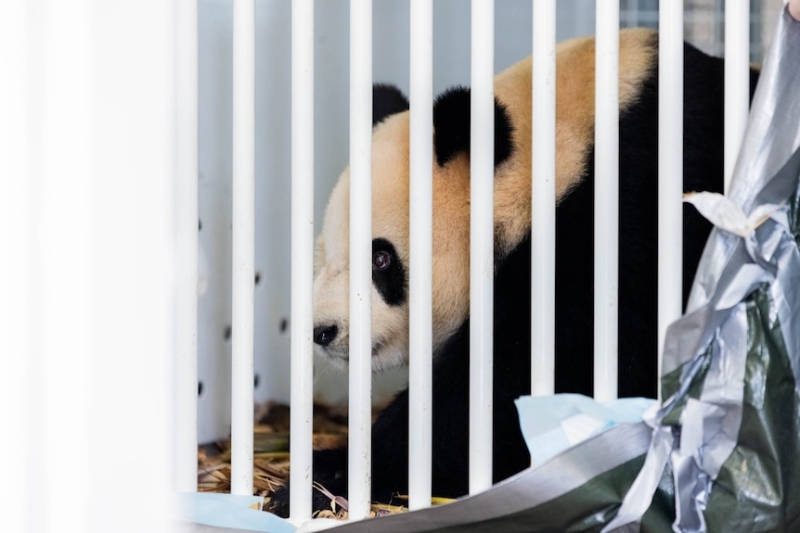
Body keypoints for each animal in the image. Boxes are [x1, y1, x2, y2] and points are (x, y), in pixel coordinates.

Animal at [268, 29, 756, 516]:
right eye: (327, 254)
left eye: (381, 258)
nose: (322, 331)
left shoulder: (625, 226)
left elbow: (510, 391)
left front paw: (323, 479)